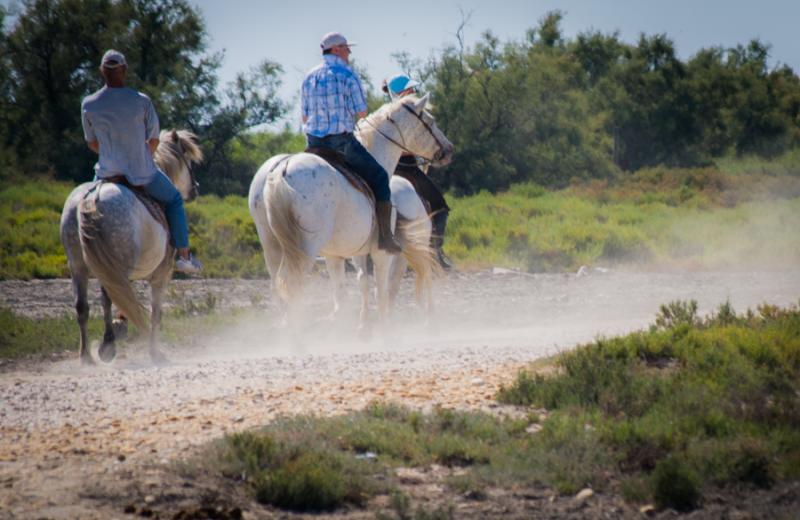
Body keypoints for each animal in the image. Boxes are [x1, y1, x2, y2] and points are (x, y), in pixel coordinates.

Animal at [59, 130, 203, 366]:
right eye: (188, 161)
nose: (195, 189)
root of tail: (91, 198)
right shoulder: (161, 275)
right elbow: (155, 313)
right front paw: (155, 352)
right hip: (117, 265)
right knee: (108, 297)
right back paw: (108, 346)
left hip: (78, 266)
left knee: (82, 306)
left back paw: (87, 356)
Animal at [247, 95, 454, 332]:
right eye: (430, 121)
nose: (449, 149)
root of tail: (281, 172)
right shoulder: (383, 252)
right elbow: (382, 289)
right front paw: (384, 328)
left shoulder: (344, 252)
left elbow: (354, 285)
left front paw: (361, 326)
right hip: (307, 248)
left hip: (272, 245)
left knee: (278, 286)